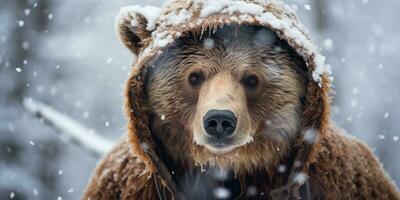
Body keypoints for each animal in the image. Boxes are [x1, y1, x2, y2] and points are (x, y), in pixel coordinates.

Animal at [82, 0, 400, 200]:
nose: (220, 120)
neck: (230, 174)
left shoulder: (348, 178)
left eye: (252, 78)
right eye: (195, 76)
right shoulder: (120, 185)